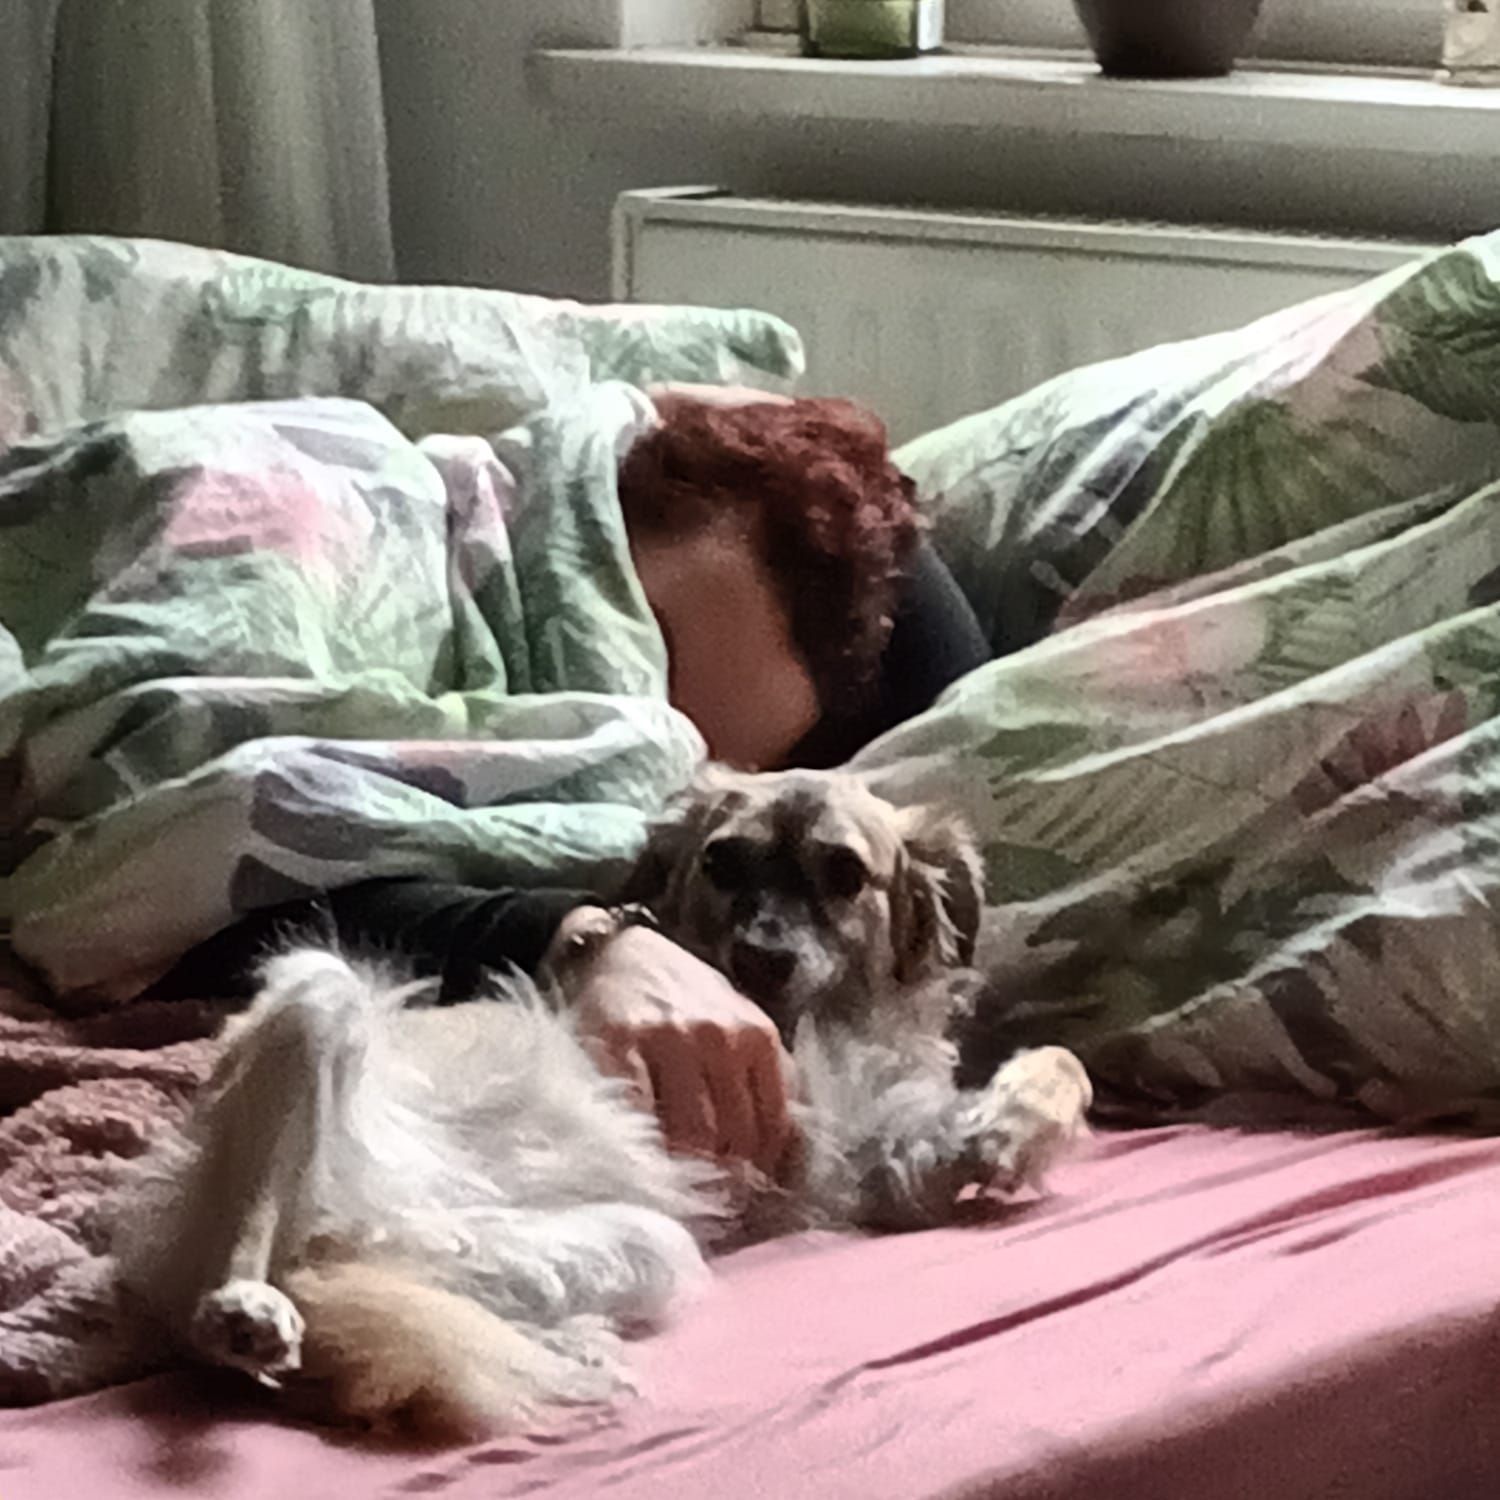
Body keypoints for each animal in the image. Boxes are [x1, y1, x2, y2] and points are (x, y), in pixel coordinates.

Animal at [112, 768, 1091, 1440]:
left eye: (845, 873)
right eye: (721, 861)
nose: (761, 952)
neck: (811, 1020)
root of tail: (347, 1228)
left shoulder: (887, 1156)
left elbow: (1061, 1063)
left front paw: (1012, 1127)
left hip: (644, 1247)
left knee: (371, 1296)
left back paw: (553, 1343)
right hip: (320, 994)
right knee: (237, 1278)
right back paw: (245, 1305)